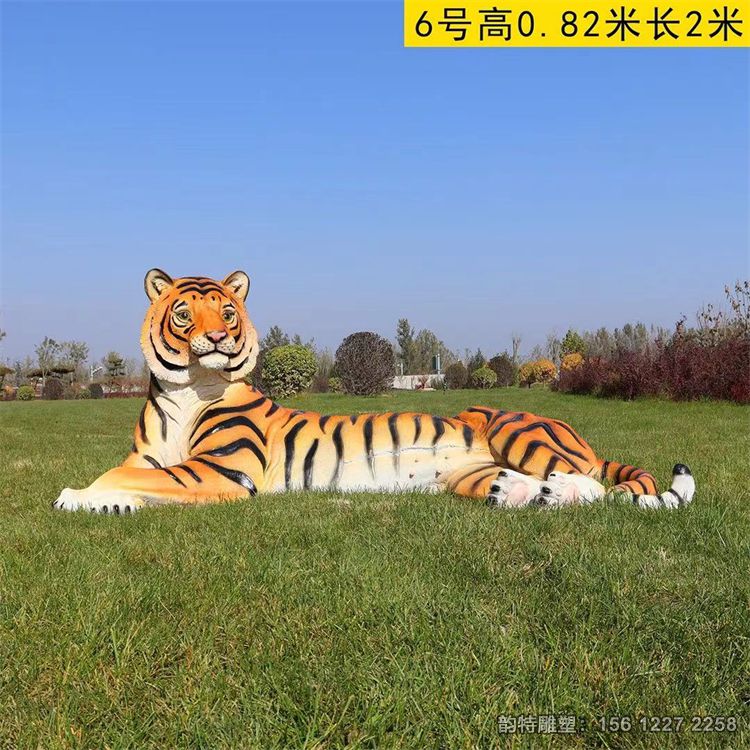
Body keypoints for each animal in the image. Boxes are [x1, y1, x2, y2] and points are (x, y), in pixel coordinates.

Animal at [53, 269, 696, 514]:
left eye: (228, 311)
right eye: (186, 312)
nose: (217, 338)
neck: (189, 390)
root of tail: (575, 433)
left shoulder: (222, 469)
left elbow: (127, 475)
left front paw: (76, 495)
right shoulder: (159, 461)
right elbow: (135, 475)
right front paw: (105, 500)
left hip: (516, 429)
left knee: (595, 484)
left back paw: (552, 488)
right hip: (470, 475)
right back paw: (520, 493)